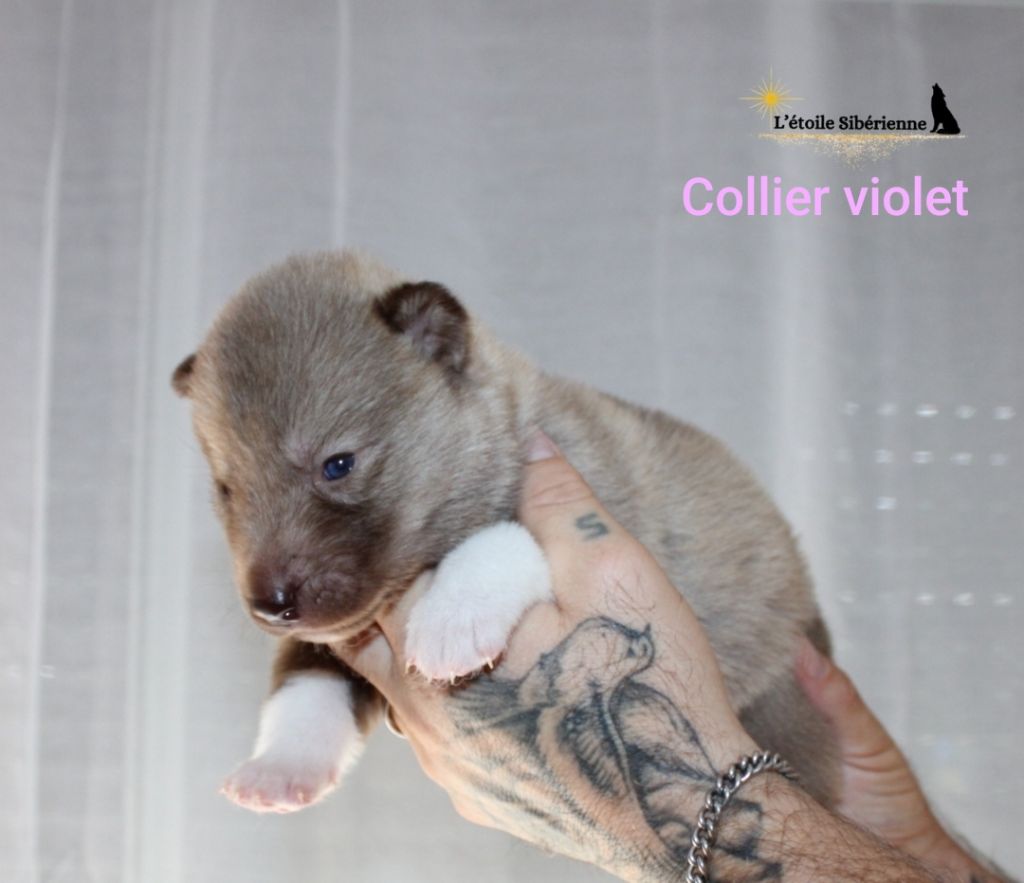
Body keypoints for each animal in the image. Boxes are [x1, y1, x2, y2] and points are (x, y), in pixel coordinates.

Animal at [172, 250, 839, 813]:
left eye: (337, 464)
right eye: (227, 489)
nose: (269, 605)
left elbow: (498, 541)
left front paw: (451, 622)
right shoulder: (330, 637)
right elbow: (303, 683)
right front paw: (280, 766)